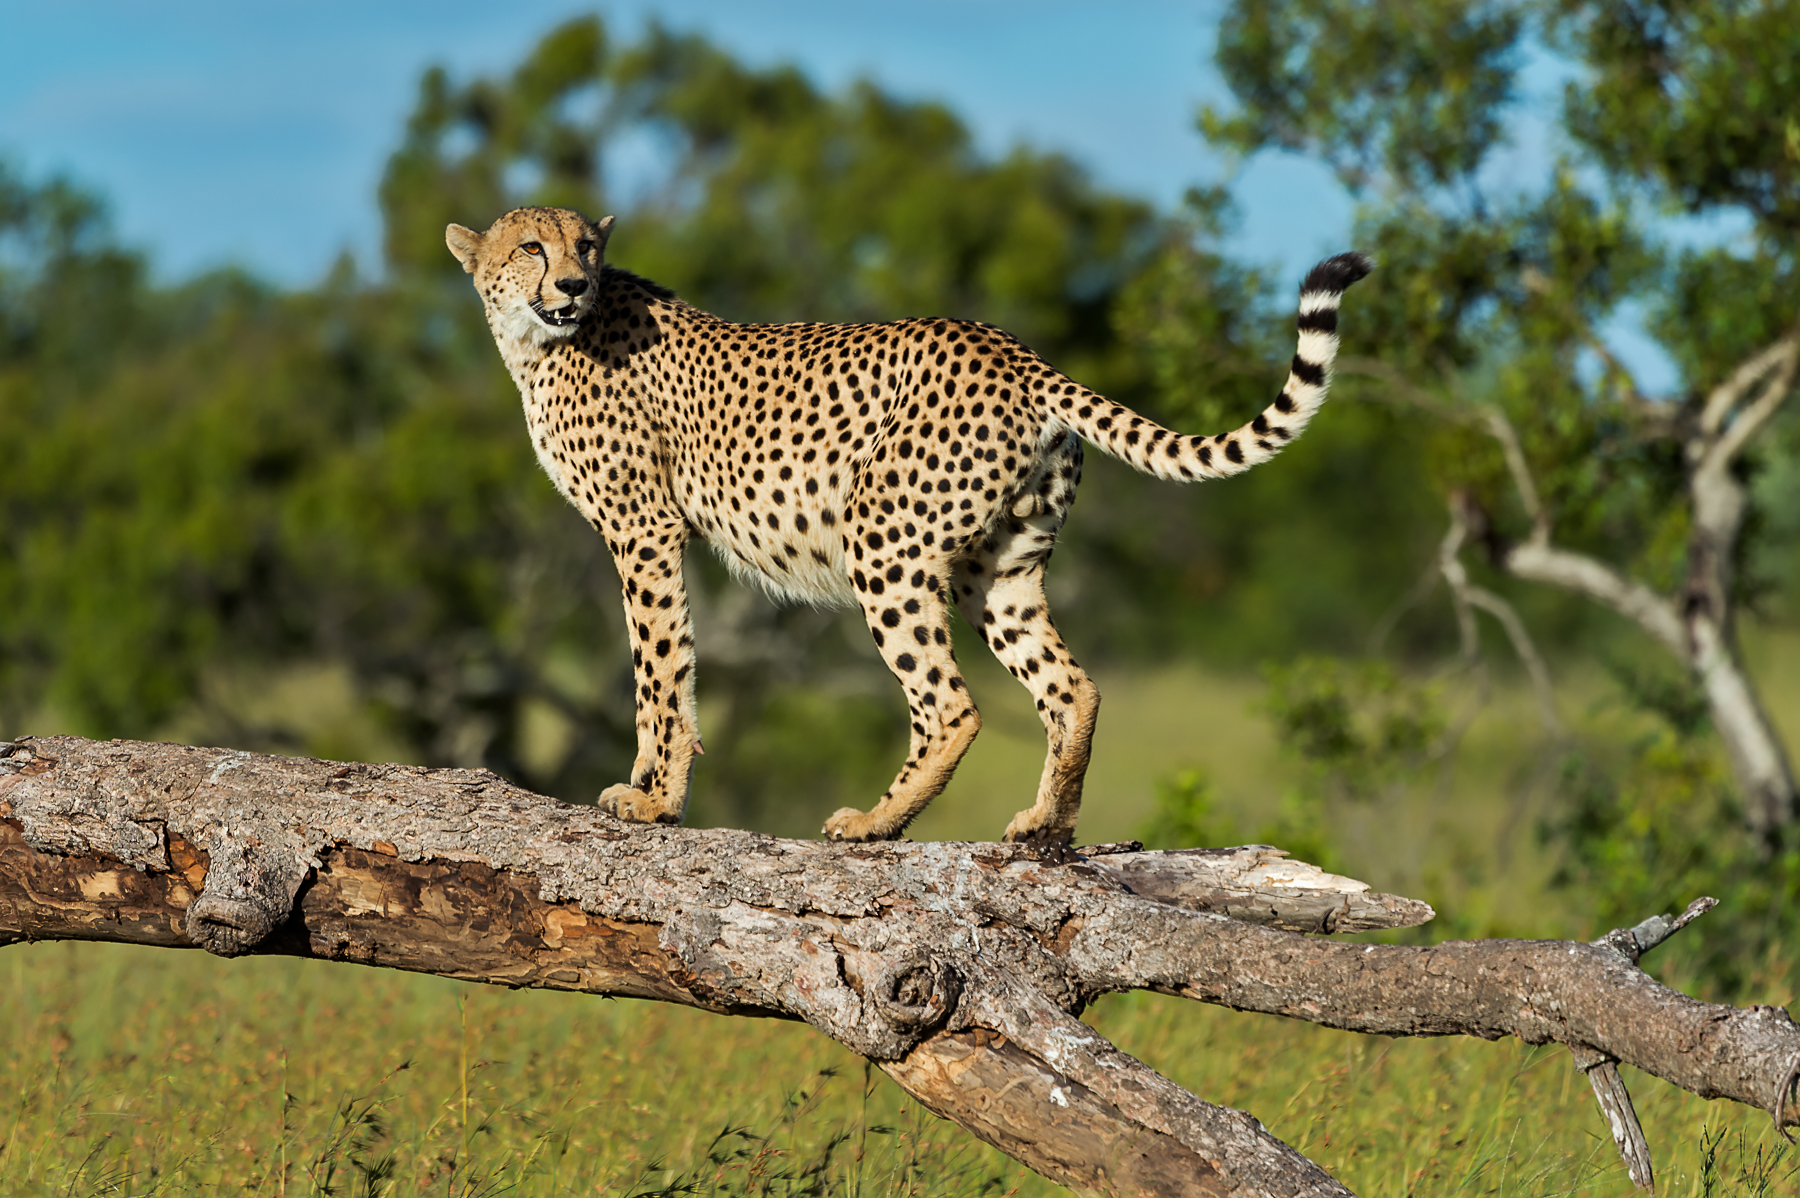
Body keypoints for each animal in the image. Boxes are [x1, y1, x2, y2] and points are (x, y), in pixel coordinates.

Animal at [447, 206, 1370, 848]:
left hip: (882, 542)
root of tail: (1012, 349)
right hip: (999, 569)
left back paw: (877, 821)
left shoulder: (645, 530)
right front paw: (657, 791)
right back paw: (1046, 823)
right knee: (1072, 686)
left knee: (951, 704)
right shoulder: (653, 532)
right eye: (531, 248)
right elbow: (669, 666)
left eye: (585, 248)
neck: (539, 343)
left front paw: (652, 798)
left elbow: (659, 670)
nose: (572, 285)